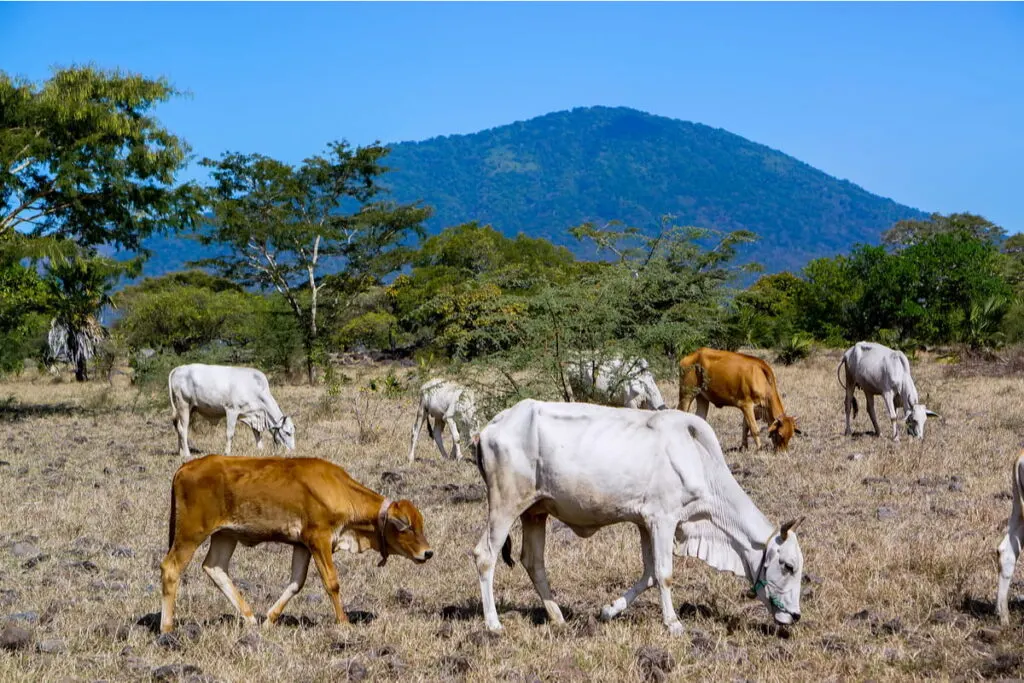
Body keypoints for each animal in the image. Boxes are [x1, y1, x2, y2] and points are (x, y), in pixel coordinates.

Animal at [157, 456, 434, 634]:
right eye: (406, 526)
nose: (428, 552)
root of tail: (187, 466)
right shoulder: (319, 539)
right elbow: (332, 583)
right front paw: (344, 622)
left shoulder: (302, 545)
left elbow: (296, 583)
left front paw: (269, 620)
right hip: (190, 534)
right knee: (171, 568)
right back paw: (167, 628)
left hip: (225, 535)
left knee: (215, 567)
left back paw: (250, 618)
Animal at [167, 362, 296, 458]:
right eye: (287, 433)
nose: (293, 450)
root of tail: (179, 368)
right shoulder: (232, 410)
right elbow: (230, 433)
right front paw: (227, 452)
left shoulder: (253, 414)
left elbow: (257, 433)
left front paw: (260, 449)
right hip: (183, 404)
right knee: (182, 429)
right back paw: (187, 454)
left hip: (190, 408)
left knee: (178, 427)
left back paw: (180, 452)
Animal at [473, 397, 806, 638]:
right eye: (788, 566)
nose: (795, 615)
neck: (698, 459)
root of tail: (491, 426)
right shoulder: (663, 519)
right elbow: (664, 573)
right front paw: (673, 623)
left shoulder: (645, 523)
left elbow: (649, 574)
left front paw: (609, 610)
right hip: (505, 505)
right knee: (484, 555)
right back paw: (493, 624)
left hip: (535, 511)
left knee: (533, 561)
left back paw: (557, 617)